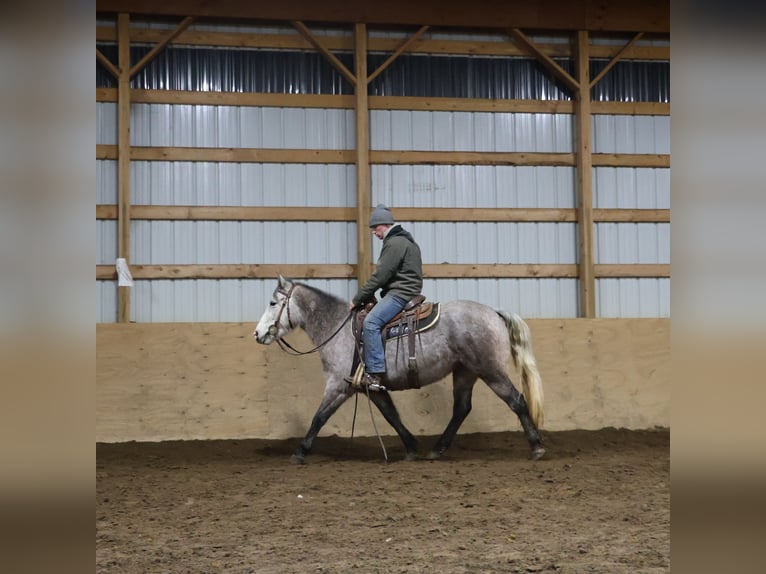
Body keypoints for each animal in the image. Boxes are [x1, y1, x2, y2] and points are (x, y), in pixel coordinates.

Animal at [253, 275, 545, 464]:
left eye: (272, 303)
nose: (258, 333)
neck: (337, 326)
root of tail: (494, 312)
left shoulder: (338, 386)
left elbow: (319, 417)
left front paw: (300, 452)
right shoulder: (372, 388)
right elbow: (391, 415)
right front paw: (412, 447)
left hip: (490, 370)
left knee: (516, 400)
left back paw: (537, 447)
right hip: (465, 372)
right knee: (461, 409)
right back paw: (437, 449)